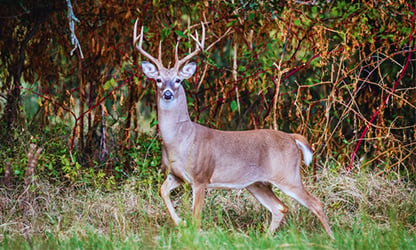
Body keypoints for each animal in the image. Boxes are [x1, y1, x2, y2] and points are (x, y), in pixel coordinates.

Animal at [133, 19, 334, 238]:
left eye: (178, 80)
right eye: (158, 79)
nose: (168, 93)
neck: (180, 140)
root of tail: (292, 138)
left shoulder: (201, 177)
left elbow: (196, 218)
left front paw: (192, 232)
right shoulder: (175, 174)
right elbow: (162, 191)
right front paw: (180, 222)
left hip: (288, 175)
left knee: (315, 203)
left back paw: (332, 238)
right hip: (257, 183)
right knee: (280, 208)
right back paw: (265, 238)